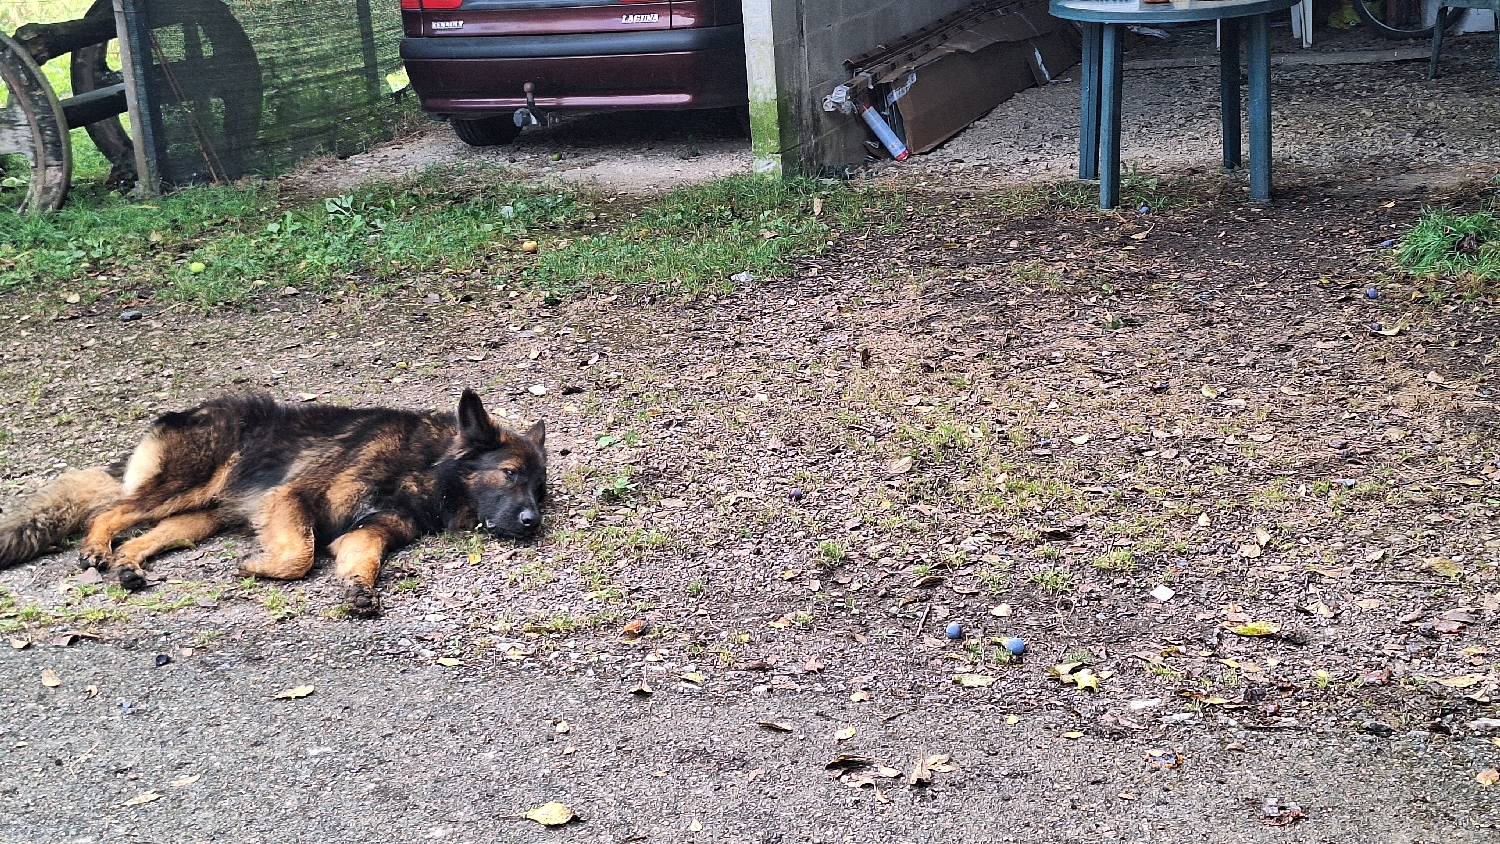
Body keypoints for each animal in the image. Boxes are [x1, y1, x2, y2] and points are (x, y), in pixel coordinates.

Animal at [0, 392, 549, 617]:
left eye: (539, 491)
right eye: (510, 473)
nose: (532, 522)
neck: (427, 466)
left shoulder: (369, 529)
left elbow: (358, 559)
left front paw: (358, 588)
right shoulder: (293, 497)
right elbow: (301, 554)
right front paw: (257, 568)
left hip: (201, 516)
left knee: (147, 535)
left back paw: (129, 566)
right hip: (185, 486)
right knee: (109, 512)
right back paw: (98, 548)